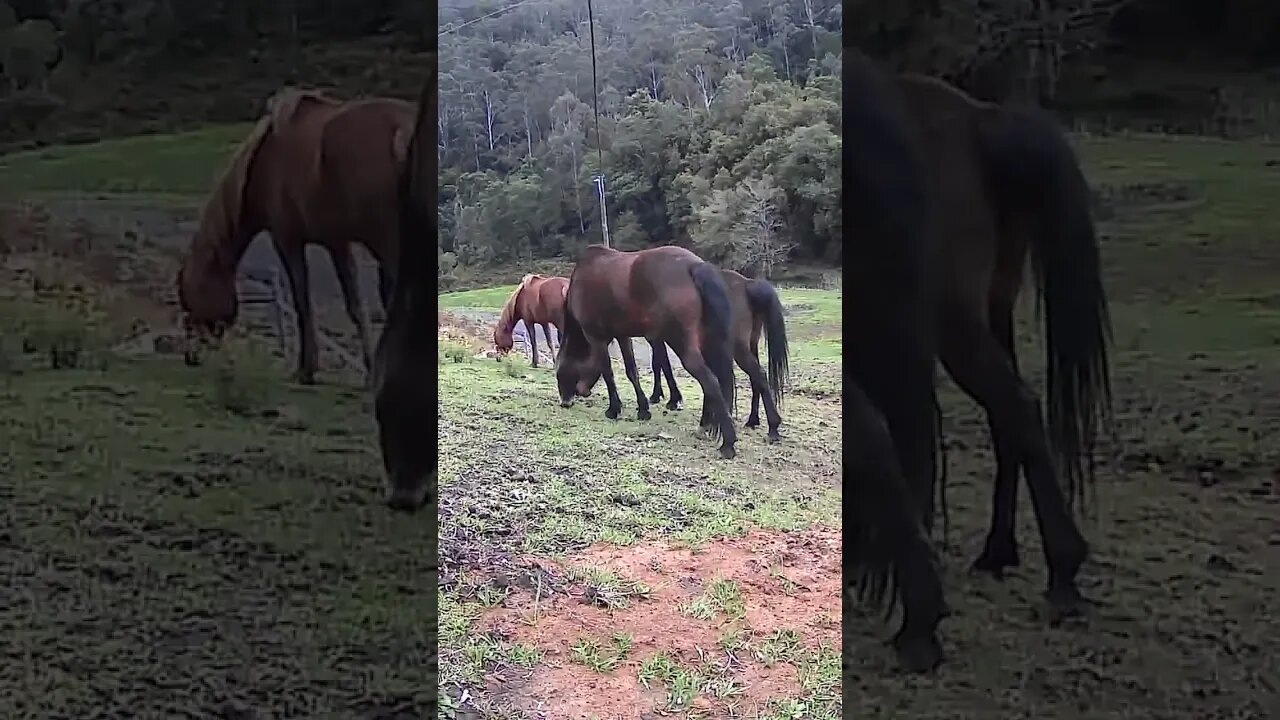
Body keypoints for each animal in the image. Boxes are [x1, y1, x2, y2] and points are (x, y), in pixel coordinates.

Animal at [176, 87, 416, 385]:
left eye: (191, 296)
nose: (190, 356)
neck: (263, 163)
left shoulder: (287, 240)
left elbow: (303, 302)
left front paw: (306, 369)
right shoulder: (336, 243)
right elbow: (356, 306)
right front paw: (370, 369)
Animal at [554, 245, 739, 459]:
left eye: (559, 373)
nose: (565, 402)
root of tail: (694, 266)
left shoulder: (596, 338)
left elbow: (608, 372)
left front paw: (614, 409)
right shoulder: (623, 336)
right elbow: (631, 371)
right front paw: (643, 410)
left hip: (681, 344)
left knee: (711, 382)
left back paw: (727, 443)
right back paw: (706, 426)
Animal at [581, 268, 791, 441]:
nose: (582, 391)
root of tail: (747, 284)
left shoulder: (656, 338)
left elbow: (660, 363)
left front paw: (664, 397)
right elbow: (661, 363)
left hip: (735, 347)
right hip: (746, 345)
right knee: (755, 377)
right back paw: (753, 421)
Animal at [894, 73, 1112, 609]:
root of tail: (981, 120)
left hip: (955, 317)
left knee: (1017, 405)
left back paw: (1062, 569)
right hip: (992, 308)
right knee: (1006, 415)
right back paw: (998, 549)